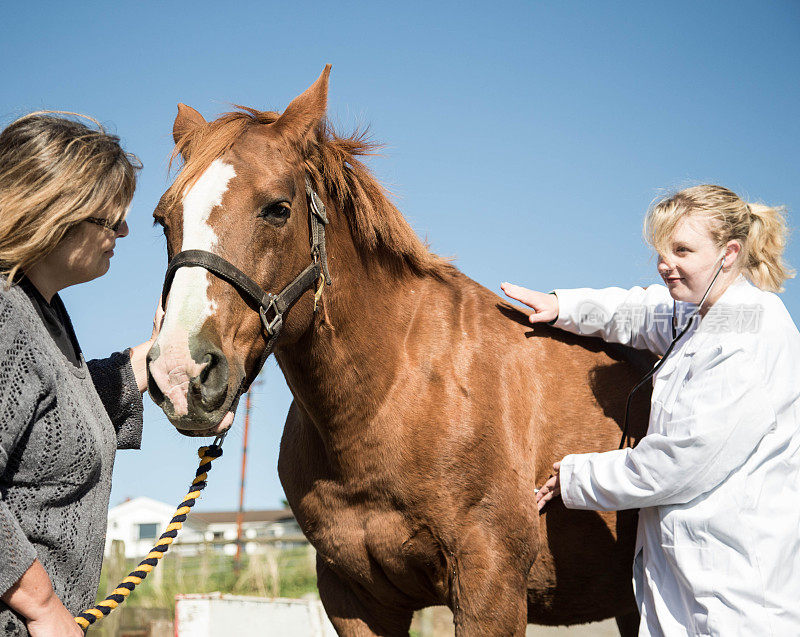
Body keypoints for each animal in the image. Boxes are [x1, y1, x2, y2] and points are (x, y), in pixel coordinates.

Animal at [147, 67, 652, 632]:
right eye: (164, 221)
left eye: (278, 209)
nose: (180, 373)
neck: (395, 395)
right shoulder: (353, 597)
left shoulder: (491, 588)